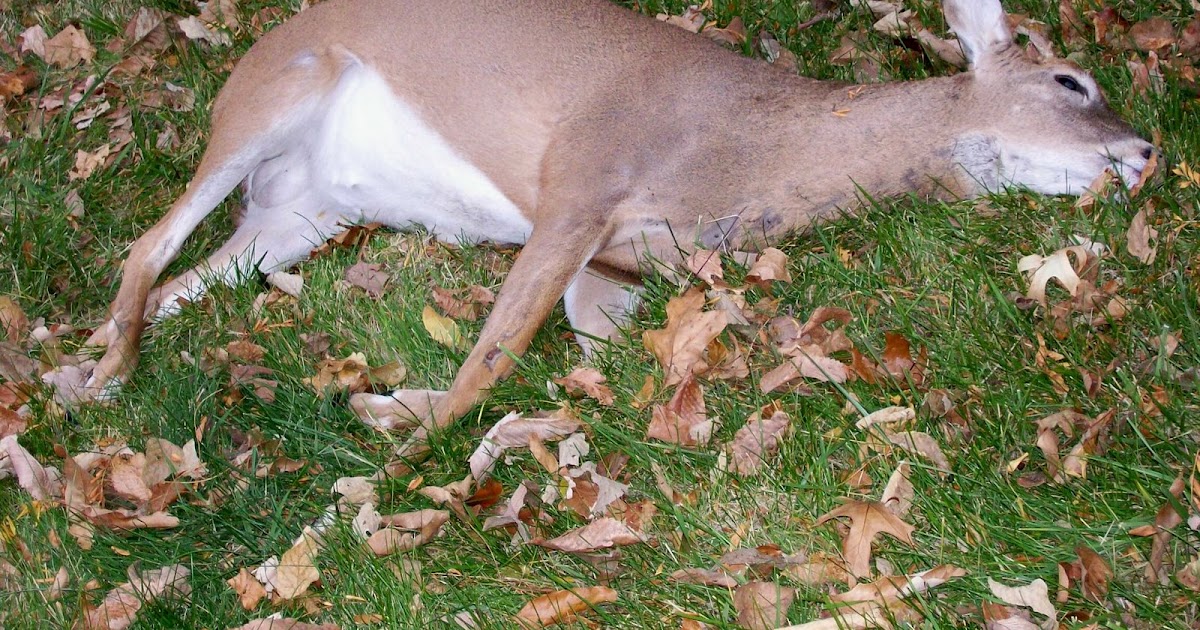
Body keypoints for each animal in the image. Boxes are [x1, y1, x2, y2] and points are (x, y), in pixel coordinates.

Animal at [84, 0, 1153, 461]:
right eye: (1072, 82)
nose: (1146, 151)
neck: (741, 152)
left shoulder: (617, 264)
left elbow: (601, 375)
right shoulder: (582, 178)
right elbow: (491, 359)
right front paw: (397, 431)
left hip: (301, 213)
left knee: (172, 278)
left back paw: (80, 369)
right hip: (273, 99)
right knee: (144, 245)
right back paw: (104, 378)